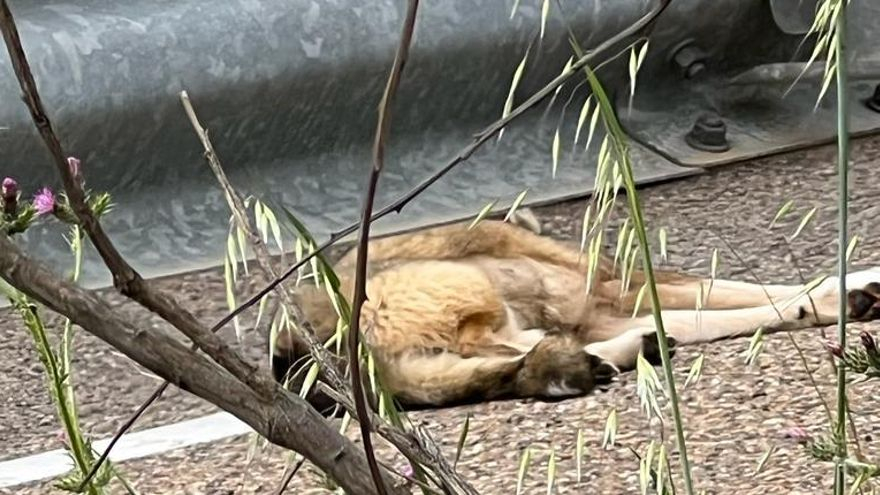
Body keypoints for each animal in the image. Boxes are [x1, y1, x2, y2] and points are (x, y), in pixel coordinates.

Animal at [272, 211, 876, 412]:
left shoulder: (606, 303)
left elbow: (729, 308)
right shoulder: (617, 288)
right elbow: (746, 292)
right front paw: (845, 290)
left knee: (520, 364)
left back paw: (624, 354)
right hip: (479, 303)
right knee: (508, 350)